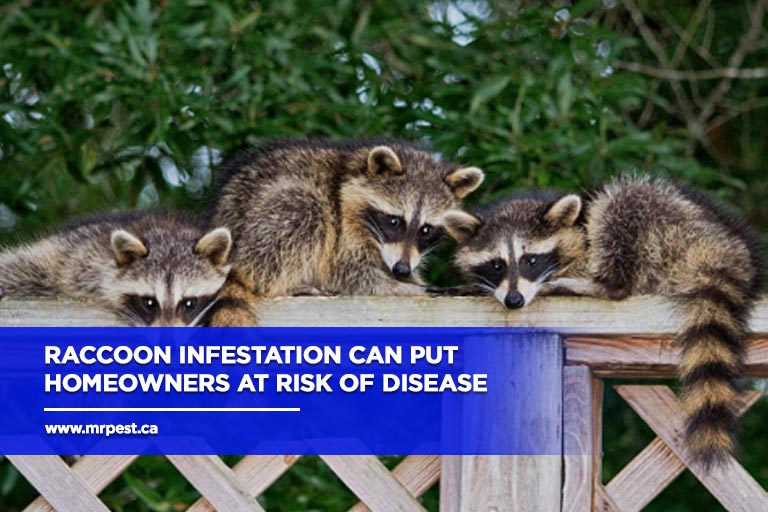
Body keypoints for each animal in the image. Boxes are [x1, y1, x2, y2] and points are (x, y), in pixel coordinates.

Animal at [208, 138, 484, 326]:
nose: (401, 270)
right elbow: (349, 274)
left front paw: (412, 280)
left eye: (426, 230)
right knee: (302, 213)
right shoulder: (342, 226)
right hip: (265, 220)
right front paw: (408, 288)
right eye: (394, 221)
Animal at [455, 177, 764, 468]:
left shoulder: (583, 246)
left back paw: (597, 284)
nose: (514, 300)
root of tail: (728, 249)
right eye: (497, 265)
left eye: (530, 260)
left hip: (670, 227)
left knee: (624, 204)